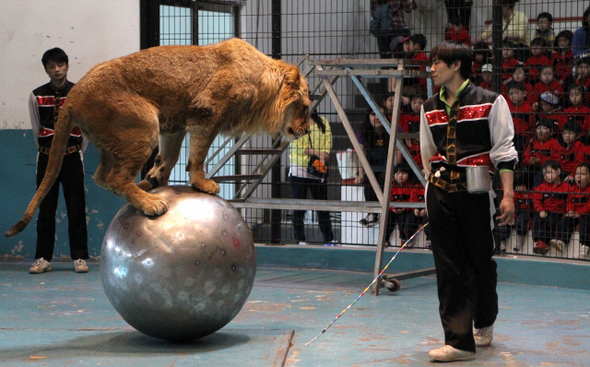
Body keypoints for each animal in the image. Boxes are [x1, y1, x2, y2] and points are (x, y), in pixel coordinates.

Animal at [5, 38, 310, 239]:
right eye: (306, 108)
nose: (307, 130)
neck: (263, 86)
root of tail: (73, 94)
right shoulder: (206, 113)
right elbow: (197, 156)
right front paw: (201, 183)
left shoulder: (174, 127)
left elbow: (170, 157)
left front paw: (158, 180)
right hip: (143, 122)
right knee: (115, 178)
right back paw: (151, 203)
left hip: (114, 137)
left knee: (103, 177)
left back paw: (143, 191)